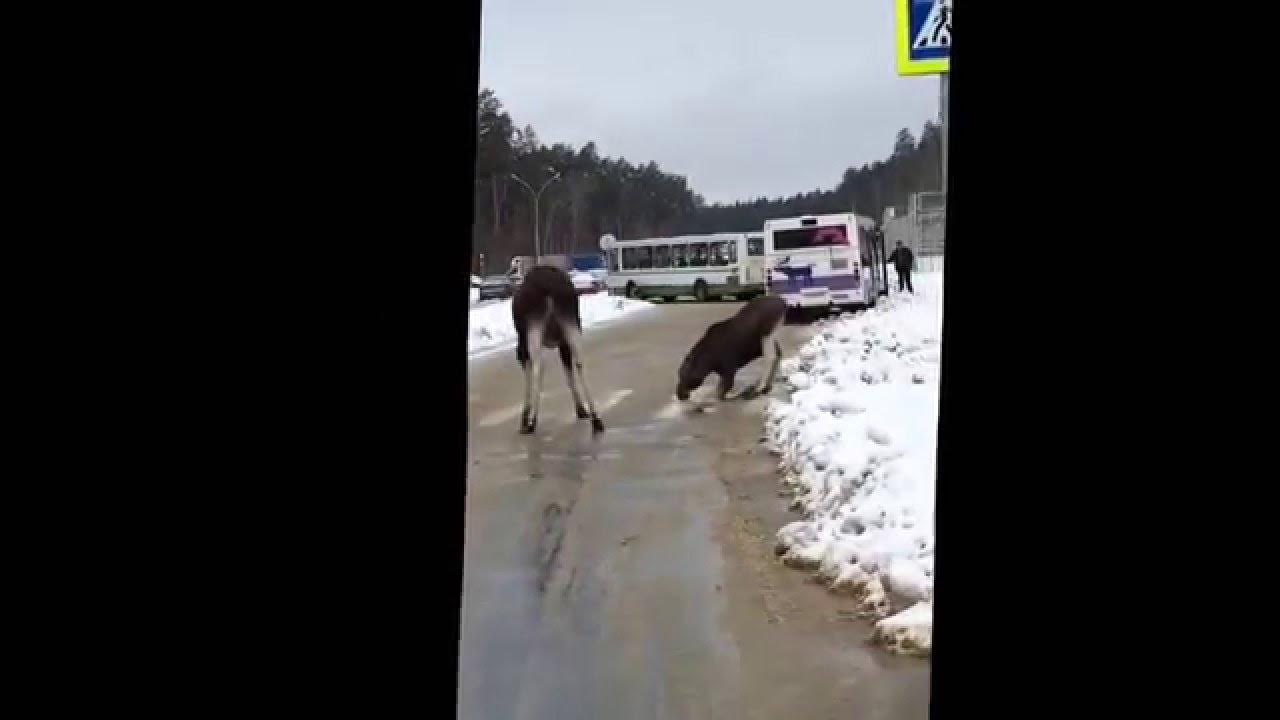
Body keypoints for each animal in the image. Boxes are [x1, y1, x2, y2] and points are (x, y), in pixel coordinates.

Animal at [509, 263, 604, 430]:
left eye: (515, 264)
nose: (510, 272)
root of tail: (550, 289)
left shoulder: (522, 344)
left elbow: (528, 372)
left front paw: (525, 417)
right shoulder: (562, 343)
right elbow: (568, 375)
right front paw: (581, 409)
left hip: (534, 327)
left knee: (539, 366)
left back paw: (532, 421)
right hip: (572, 322)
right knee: (580, 361)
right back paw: (596, 418)